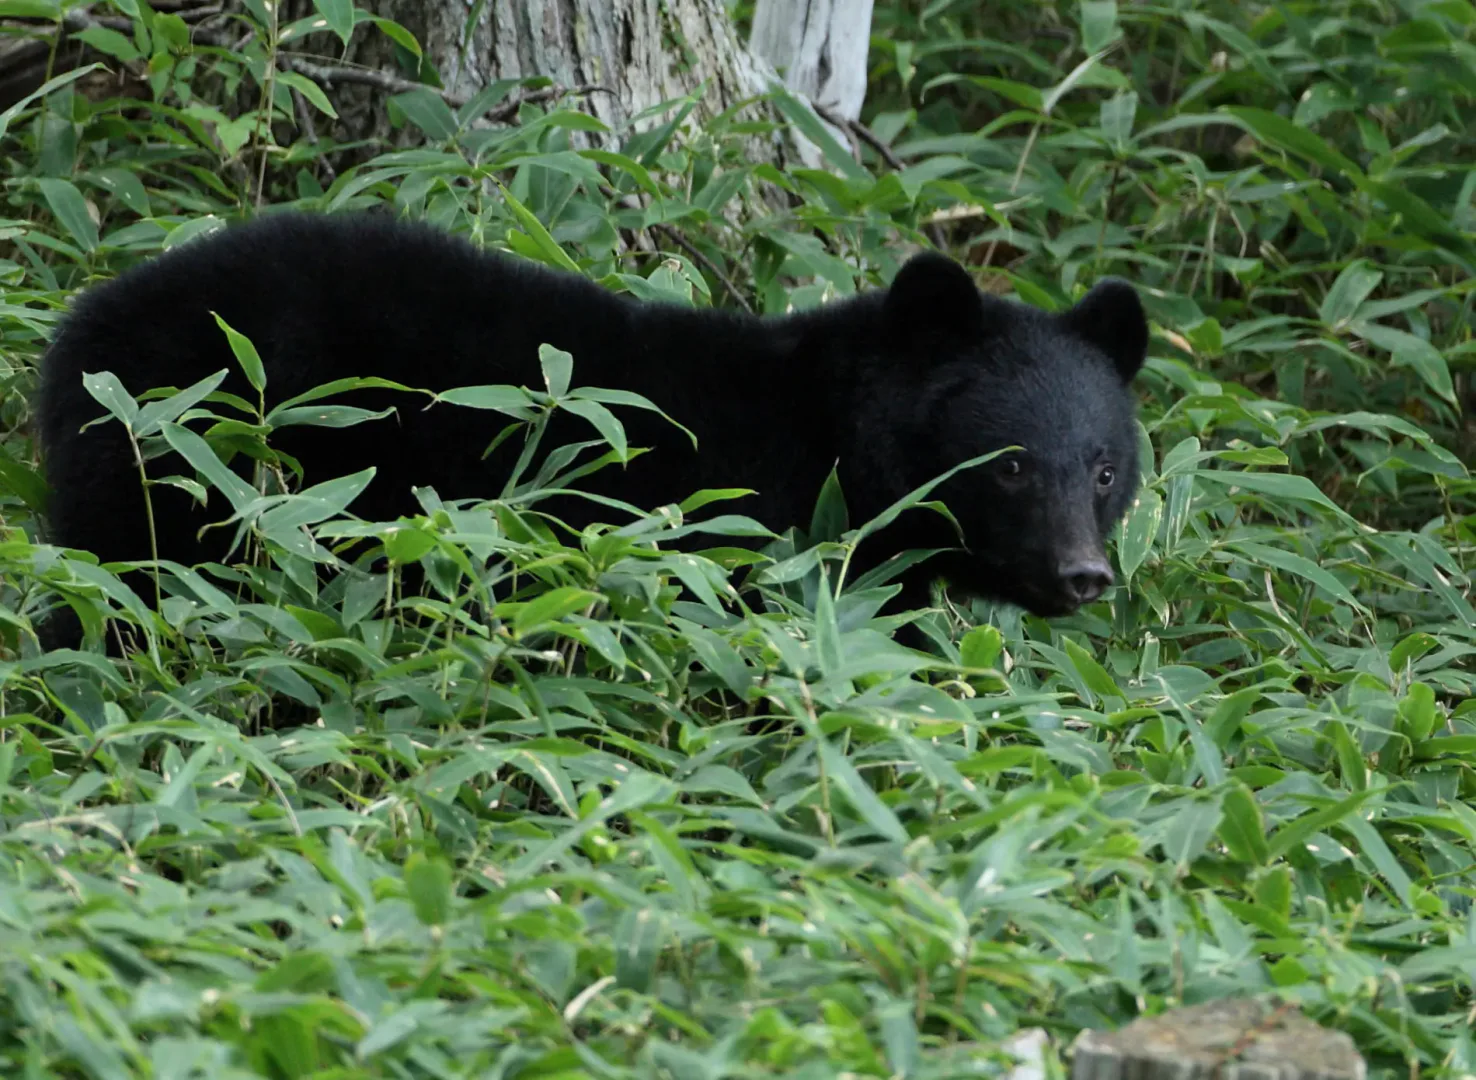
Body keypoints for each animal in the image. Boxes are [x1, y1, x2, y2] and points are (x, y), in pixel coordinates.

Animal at [33, 211, 1148, 647]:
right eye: (1008, 467)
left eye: (1103, 470)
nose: (1083, 575)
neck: (832, 439)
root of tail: (81, 327)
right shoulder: (761, 530)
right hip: (187, 453)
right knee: (124, 581)